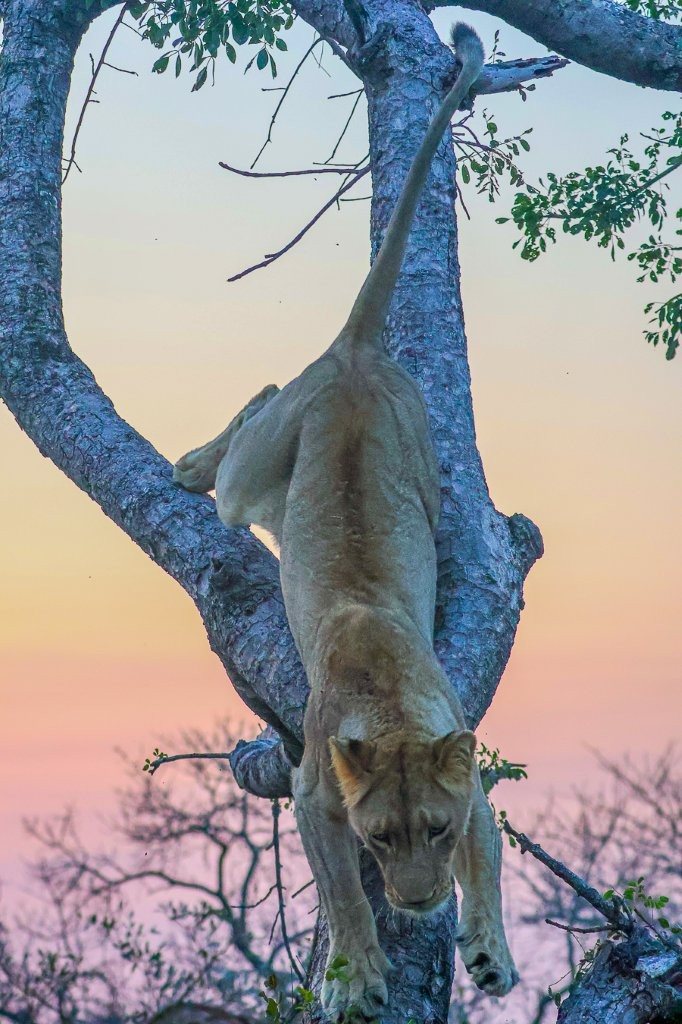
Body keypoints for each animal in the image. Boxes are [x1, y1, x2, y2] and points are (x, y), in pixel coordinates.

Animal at [173, 23, 518, 1018]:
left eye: (434, 830)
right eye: (383, 840)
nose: (422, 902)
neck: (393, 704)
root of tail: (358, 351)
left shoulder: (469, 778)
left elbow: (492, 862)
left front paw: (488, 950)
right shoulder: (311, 793)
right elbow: (340, 893)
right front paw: (362, 975)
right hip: (257, 477)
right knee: (249, 418)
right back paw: (188, 465)